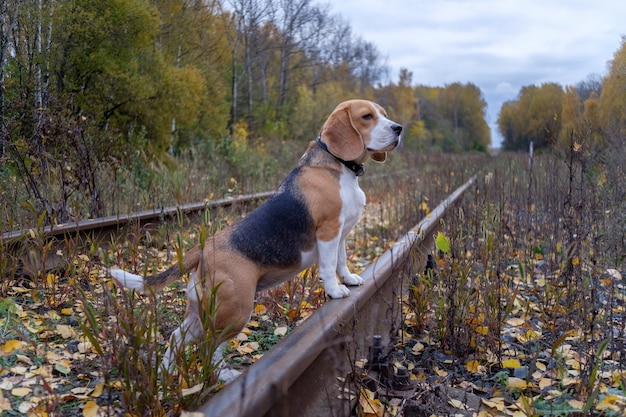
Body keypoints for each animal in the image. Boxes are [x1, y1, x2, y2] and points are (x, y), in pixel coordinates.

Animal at [108, 100, 400, 374]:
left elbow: (341, 261)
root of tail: (203, 249)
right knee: (208, 348)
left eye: (385, 114)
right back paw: (223, 376)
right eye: (367, 116)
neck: (338, 165)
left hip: (202, 311)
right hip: (236, 310)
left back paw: (166, 372)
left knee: (177, 338)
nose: (398, 128)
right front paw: (335, 290)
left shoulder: (341, 233)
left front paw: (349, 279)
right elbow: (328, 266)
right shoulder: (328, 231)